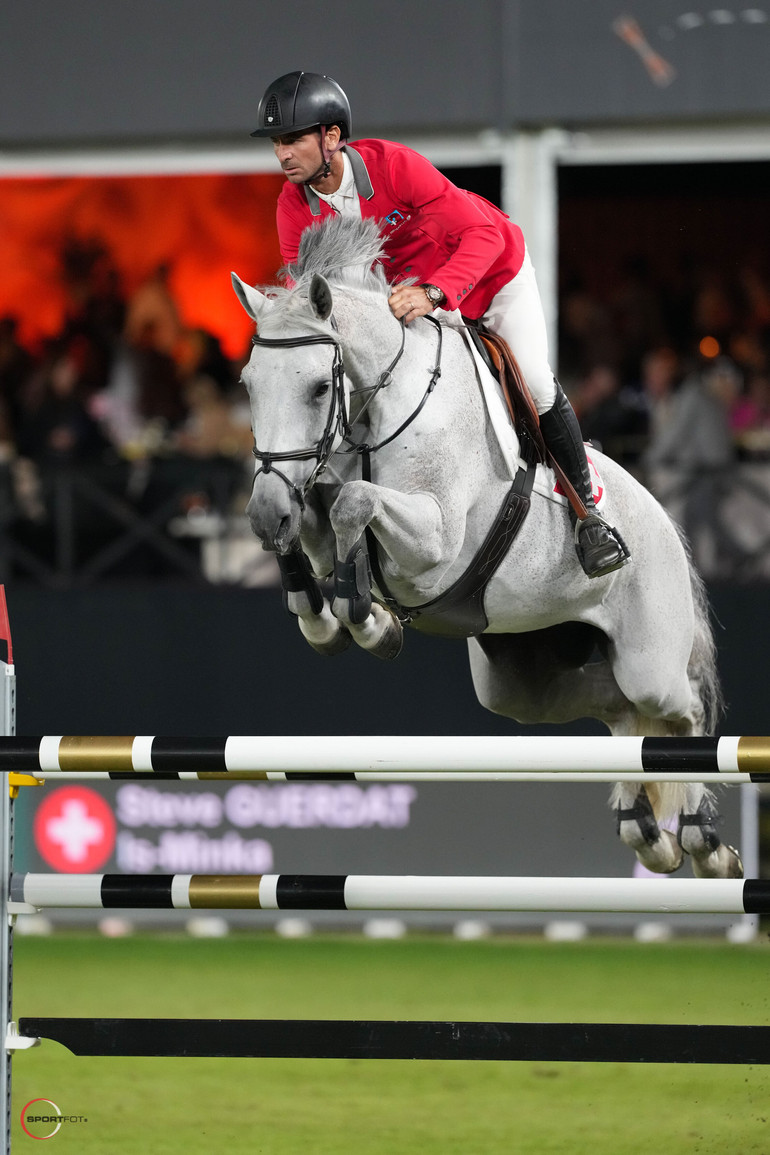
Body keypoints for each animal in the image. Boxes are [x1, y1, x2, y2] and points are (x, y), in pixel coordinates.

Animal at [232, 217, 743, 877]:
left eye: (321, 388)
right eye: (247, 385)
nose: (263, 512)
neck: (376, 414)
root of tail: (667, 525)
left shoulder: (434, 547)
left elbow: (355, 504)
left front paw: (370, 622)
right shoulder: (315, 509)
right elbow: (317, 525)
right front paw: (328, 616)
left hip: (649, 660)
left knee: (684, 710)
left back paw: (706, 842)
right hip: (525, 685)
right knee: (619, 712)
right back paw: (645, 830)